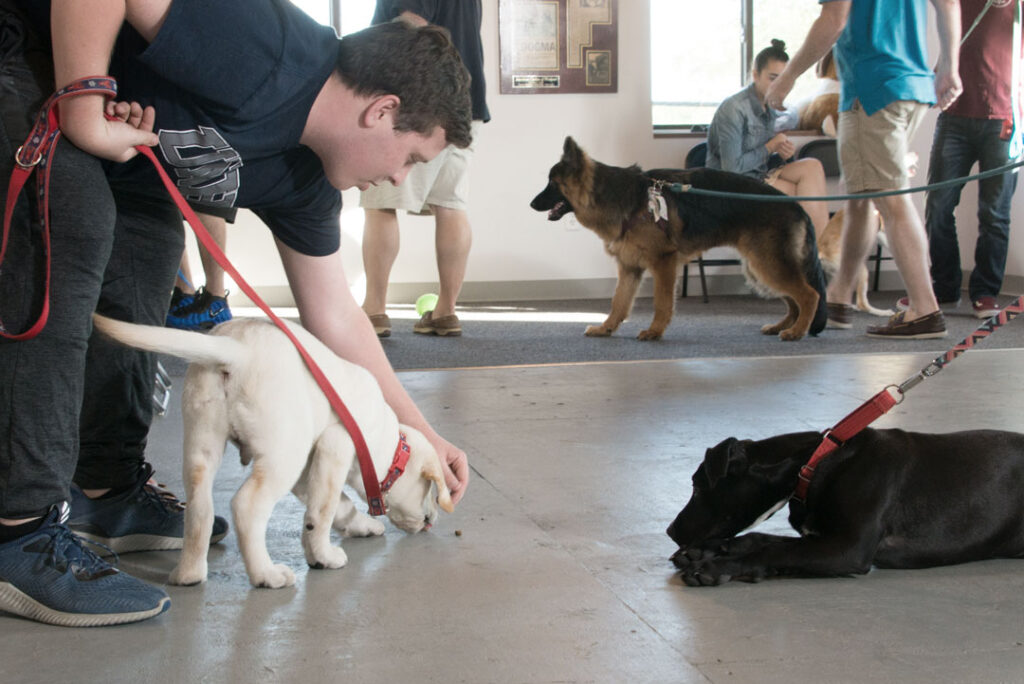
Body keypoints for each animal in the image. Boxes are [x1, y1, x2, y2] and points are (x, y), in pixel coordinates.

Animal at [92, 315, 452, 589]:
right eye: (433, 492)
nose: (433, 520)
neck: (389, 447)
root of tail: (237, 350)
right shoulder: (335, 446)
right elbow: (325, 510)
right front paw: (324, 557)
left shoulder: (309, 470)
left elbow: (335, 507)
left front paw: (356, 528)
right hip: (284, 455)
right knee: (246, 507)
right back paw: (266, 575)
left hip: (202, 442)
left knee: (199, 510)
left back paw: (188, 573)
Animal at [532, 137, 827, 342]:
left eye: (552, 183)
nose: (531, 203)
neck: (623, 199)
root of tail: (797, 206)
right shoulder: (629, 267)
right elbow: (619, 302)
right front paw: (606, 328)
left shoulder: (663, 262)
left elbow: (661, 302)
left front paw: (654, 331)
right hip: (760, 269)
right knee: (794, 300)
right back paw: (783, 326)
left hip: (767, 265)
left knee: (809, 295)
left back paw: (797, 331)